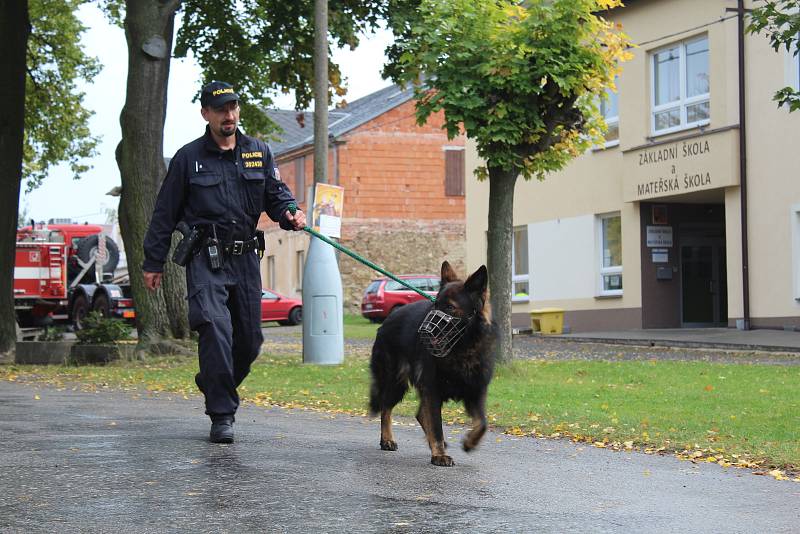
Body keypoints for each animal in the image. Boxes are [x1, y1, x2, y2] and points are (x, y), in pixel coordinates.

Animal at [368, 262, 494, 466]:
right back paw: (387, 440)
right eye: (435, 304)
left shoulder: (476, 391)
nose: (424, 330)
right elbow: (436, 426)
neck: (461, 349)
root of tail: (387, 320)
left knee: (418, 413)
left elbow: (483, 423)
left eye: (450, 307)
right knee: (385, 408)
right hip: (395, 383)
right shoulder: (433, 390)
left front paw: (470, 442)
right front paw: (439, 455)